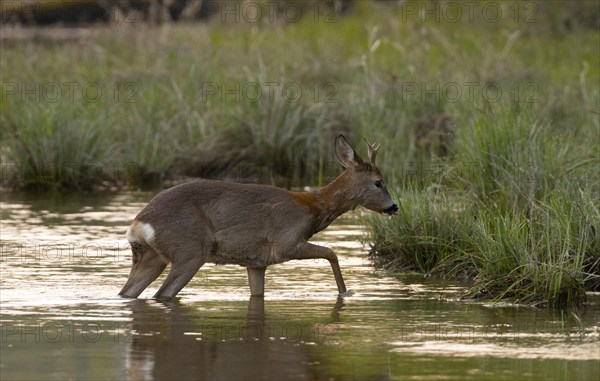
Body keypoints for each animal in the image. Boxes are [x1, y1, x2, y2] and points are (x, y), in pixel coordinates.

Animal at [119, 135, 396, 298]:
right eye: (378, 182)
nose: (394, 207)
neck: (313, 208)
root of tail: (138, 224)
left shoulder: (256, 262)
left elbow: (257, 294)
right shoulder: (287, 242)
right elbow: (332, 253)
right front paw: (346, 293)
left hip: (152, 257)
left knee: (128, 291)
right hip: (189, 251)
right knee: (162, 294)